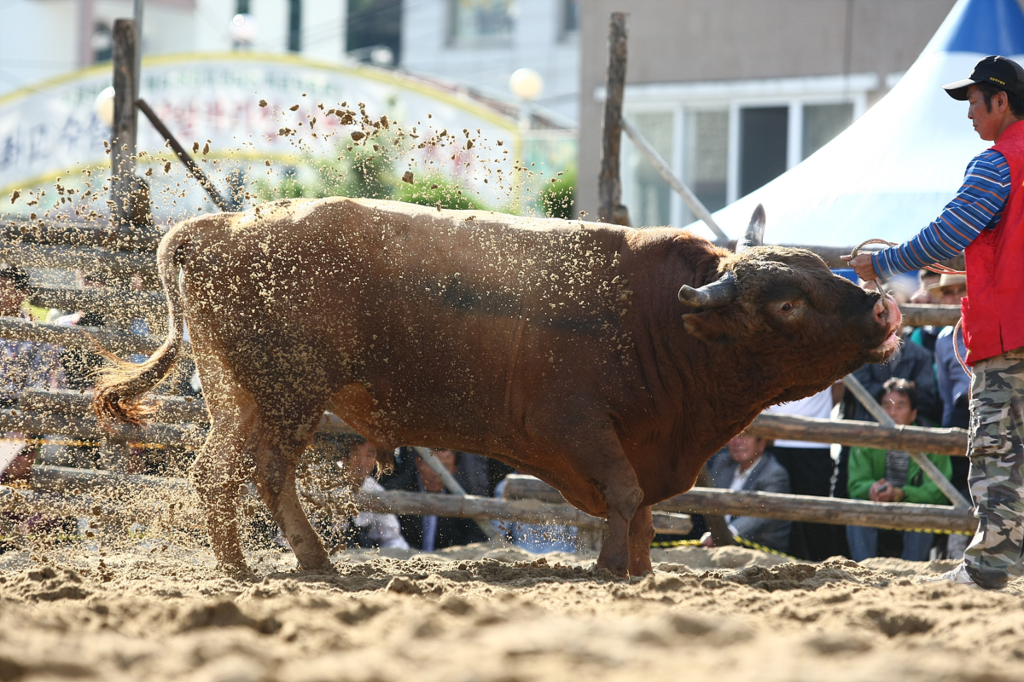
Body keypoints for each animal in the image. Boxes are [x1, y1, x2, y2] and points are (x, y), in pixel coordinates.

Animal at [94, 196, 897, 573]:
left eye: (822, 272)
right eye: (787, 303)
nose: (881, 306)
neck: (655, 318)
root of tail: (222, 224)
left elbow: (639, 508)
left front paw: (640, 569)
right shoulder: (574, 426)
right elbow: (626, 496)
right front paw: (613, 568)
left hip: (240, 395)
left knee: (219, 471)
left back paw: (259, 563)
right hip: (286, 397)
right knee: (257, 473)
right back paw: (292, 561)